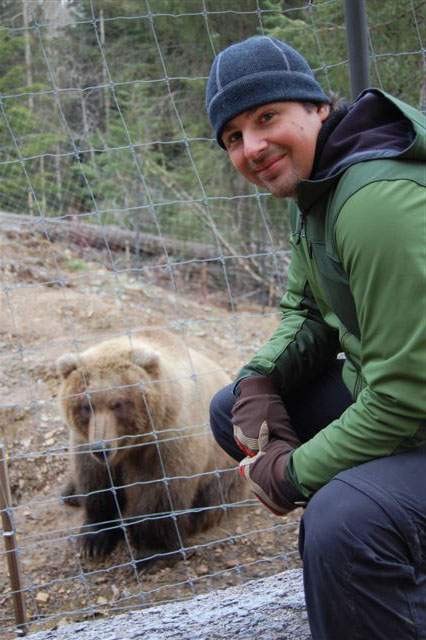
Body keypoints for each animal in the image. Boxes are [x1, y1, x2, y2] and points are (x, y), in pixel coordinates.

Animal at [55, 330, 246, 568]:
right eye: (85, 406)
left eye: (118, 403)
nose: (101, 448)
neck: (131, 446)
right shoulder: (85, 443)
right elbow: (97, 484)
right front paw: (95, 540)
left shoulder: (167, 444)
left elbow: (159, 494)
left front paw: (151, 552)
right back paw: (71, 493)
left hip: (224, 465)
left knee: (213, 500)